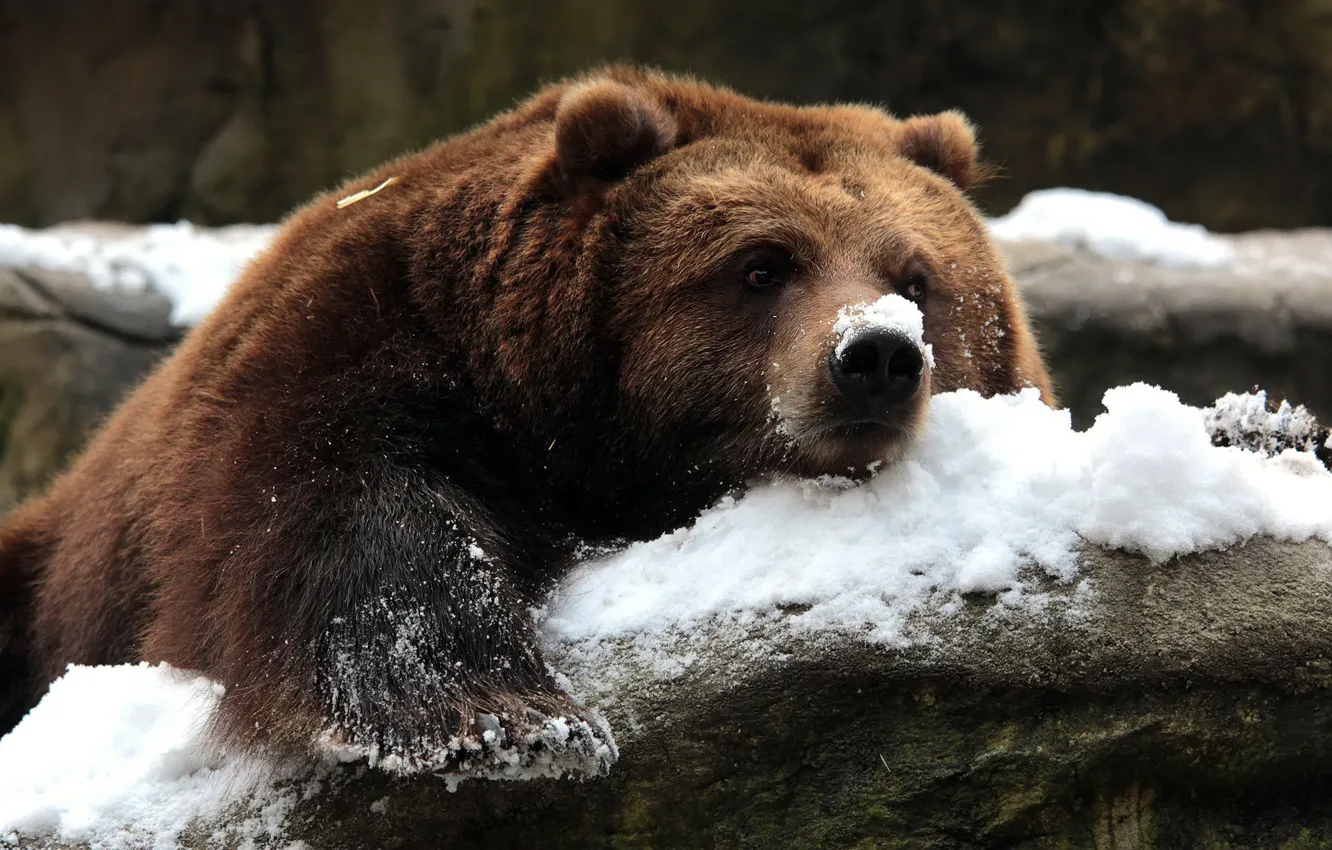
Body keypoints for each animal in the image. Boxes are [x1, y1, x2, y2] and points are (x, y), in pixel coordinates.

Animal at [0, 67, 1053, 776]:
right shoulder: (365, 340)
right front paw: (507, 719)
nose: (875, 358)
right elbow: (343, 511)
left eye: (917, 278)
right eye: (761, 265)